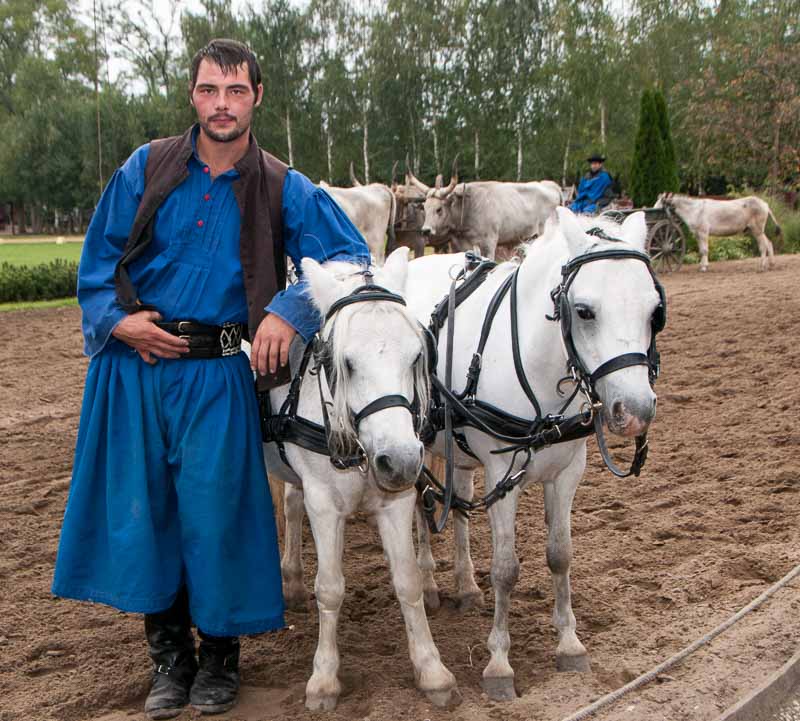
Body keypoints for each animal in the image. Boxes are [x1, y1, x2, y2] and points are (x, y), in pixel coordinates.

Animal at [262, 248, 456, 711]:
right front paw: (323, 680)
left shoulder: (396, 501)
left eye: (416, 356)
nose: (400, 460)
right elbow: (330, 588)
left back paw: (292, 579)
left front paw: (432, 670)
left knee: (291, 506)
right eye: (345, 363)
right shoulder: (323, 504)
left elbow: (407, 581)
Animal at [405, 207, 662, 701]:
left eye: (653, 311)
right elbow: (506, 569)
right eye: (584, 311)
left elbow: (560, 554)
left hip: (459, 453)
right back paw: (426, 583)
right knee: (422, 508)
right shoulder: (502, 476)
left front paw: (569, 645)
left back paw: (466, 587)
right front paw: (499, 665)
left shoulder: (568, 472)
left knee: (457, 508)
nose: (636, 411)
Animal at [407, 160, 562, 260]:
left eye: (439, 209)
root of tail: (551, 186)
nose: (426, 230)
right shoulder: (457, 246)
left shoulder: (489, 244)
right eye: (424, 208)